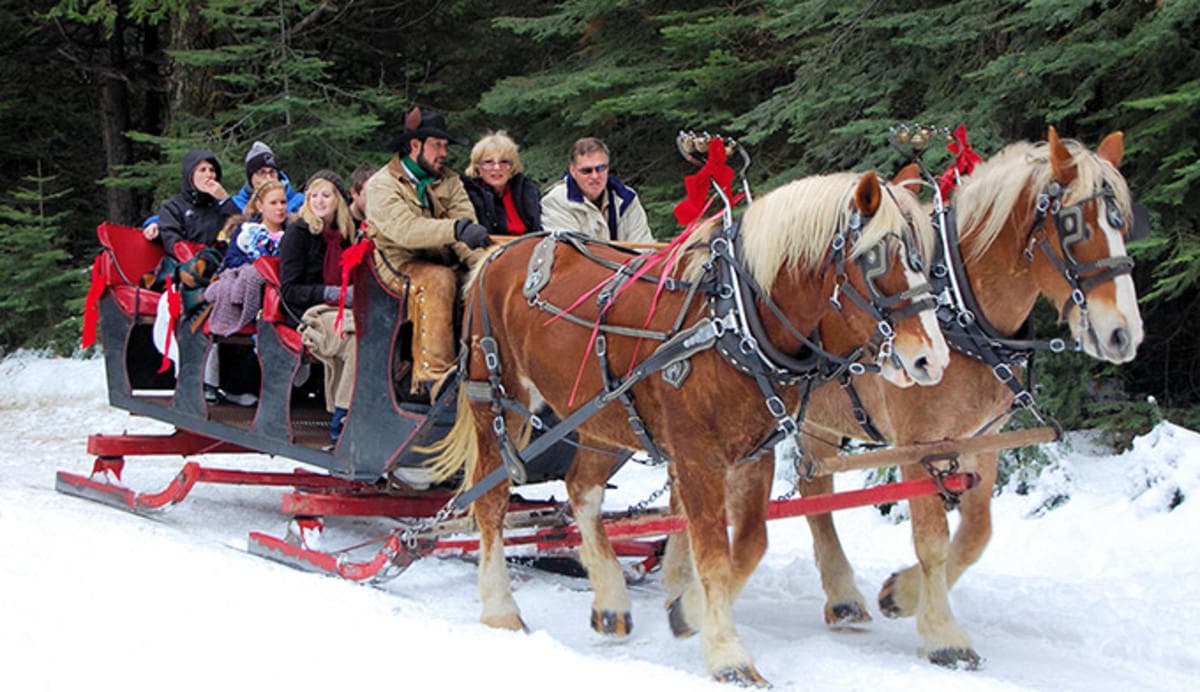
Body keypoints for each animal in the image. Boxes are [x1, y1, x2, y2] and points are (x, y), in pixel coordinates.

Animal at [425, 169, 950, 685]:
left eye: (929, 262)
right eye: (875, 259)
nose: (932, 360)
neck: (734, 317)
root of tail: (498, 253)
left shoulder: (754, 452)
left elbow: (750, 543)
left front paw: (689, 610)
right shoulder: (698, 456)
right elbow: (715, 554)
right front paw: (727, 655)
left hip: (597, 413)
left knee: (581, 491)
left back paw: (610, 602)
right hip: (498, 398)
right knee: (491, 500)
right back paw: (500, 609)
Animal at [661, 127, 1145, 669]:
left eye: (1123, 223)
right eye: (1073, 225)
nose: (1124, 334)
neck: (961, 311)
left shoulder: (982, 441)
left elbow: (977, 532)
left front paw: (902, 594)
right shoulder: (919, 445)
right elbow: (931, 539)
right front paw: (942, 633)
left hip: (812, 424)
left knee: (805, 491)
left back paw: (827, 596)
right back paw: (685, 585)